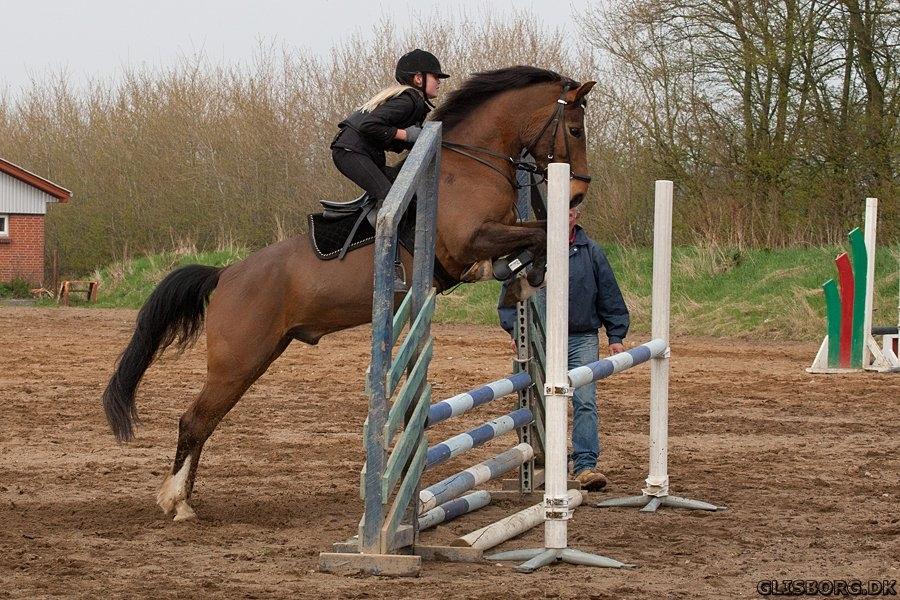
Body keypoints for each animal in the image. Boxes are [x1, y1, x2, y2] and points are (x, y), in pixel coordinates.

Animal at [102, 64, 596, 520]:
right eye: (575, 129)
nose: (575, 195)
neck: (472, 163)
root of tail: (225, 275)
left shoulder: (496, 230)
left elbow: (535, 233)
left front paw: (523, 278)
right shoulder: (469, 242)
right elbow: (537, 232)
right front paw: (523, 274)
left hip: (258, 355)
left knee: (205, 421)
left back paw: (183, 499)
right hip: (237, 360)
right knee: (195, 419)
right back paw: (177, 501)